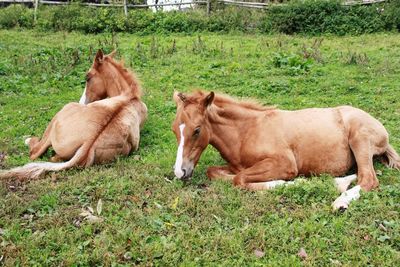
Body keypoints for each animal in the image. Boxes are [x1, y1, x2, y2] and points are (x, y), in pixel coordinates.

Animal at [172, 91, 400, 211]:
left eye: (197, 130)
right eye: (175, 129)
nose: (179, 172)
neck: (246, 131)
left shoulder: (285, 163)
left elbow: (240, 179)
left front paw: (293, 183)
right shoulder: (235, 165)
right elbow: (216, 173)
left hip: (359, 139)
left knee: (368, 178)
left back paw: (340, 199)